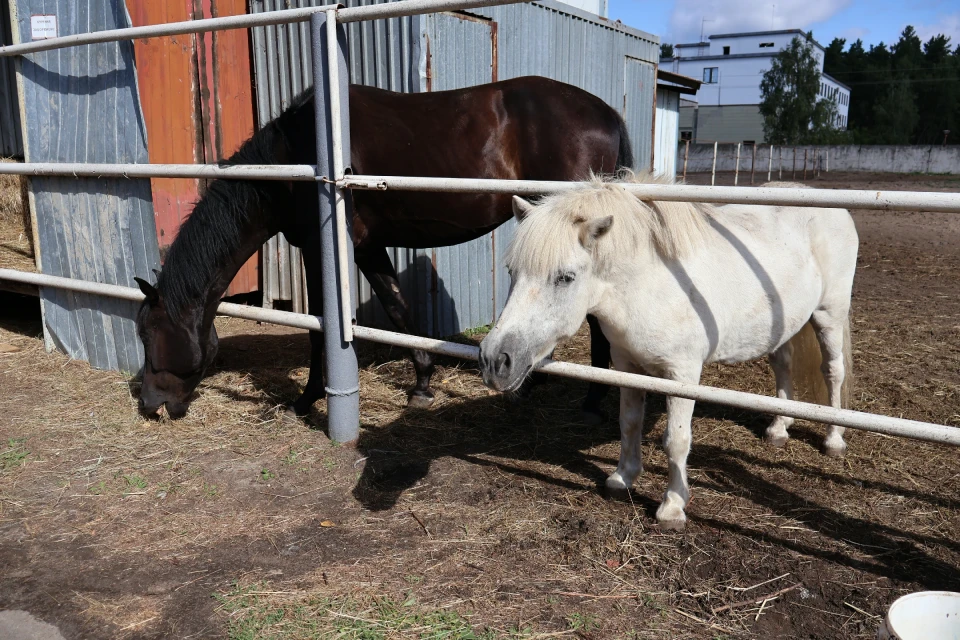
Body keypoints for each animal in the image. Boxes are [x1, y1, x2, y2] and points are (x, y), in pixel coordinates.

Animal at [135, 76, 632, 420]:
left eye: (148, 334)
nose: (150, 404)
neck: (299, 157)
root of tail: (606, 113)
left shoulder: (320, 251)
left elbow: (319, 328)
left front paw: (307, 398)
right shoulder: (369, 247)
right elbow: (398, 310)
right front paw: (423, 384)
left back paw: (591, 397)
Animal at [476, 174, 860, 528]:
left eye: (565, 277)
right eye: (512, 270)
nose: (496, 360)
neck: (649, 283)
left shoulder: (683, 375)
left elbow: (676, 440)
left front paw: (673, 507)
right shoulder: (626, 365)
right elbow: (629, 422)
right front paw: (622, 477)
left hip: (829, 315)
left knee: (833, 371)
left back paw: (834, 440)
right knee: (783, 364)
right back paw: (779, 428)